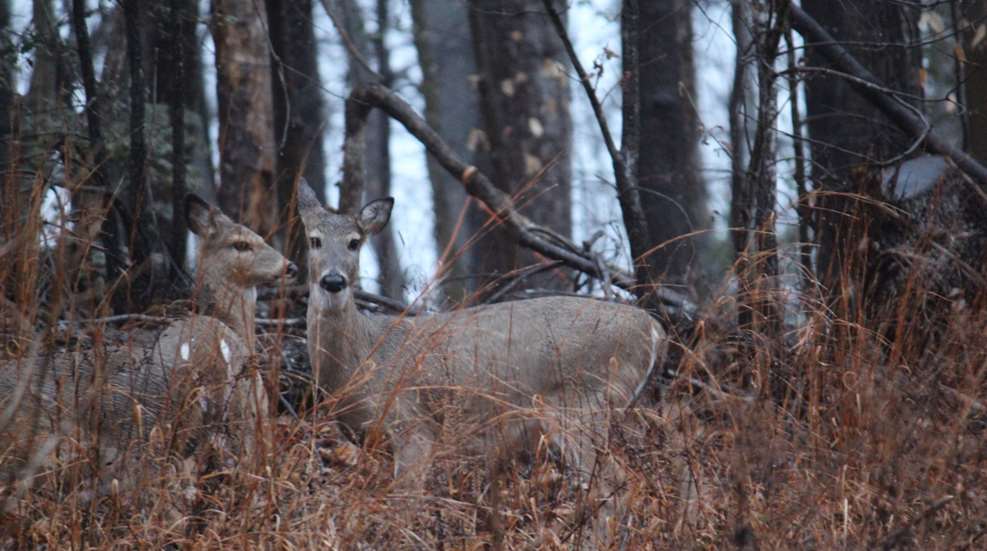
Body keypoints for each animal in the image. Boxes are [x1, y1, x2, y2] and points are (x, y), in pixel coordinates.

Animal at [296, 179, 667, 542]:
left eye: (354, 243)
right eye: (314, 240)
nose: (333, 280)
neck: (364, 356)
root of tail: (651, 328)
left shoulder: (414, 428)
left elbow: (404, 509)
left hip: (582, 406)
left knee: (616, 487)